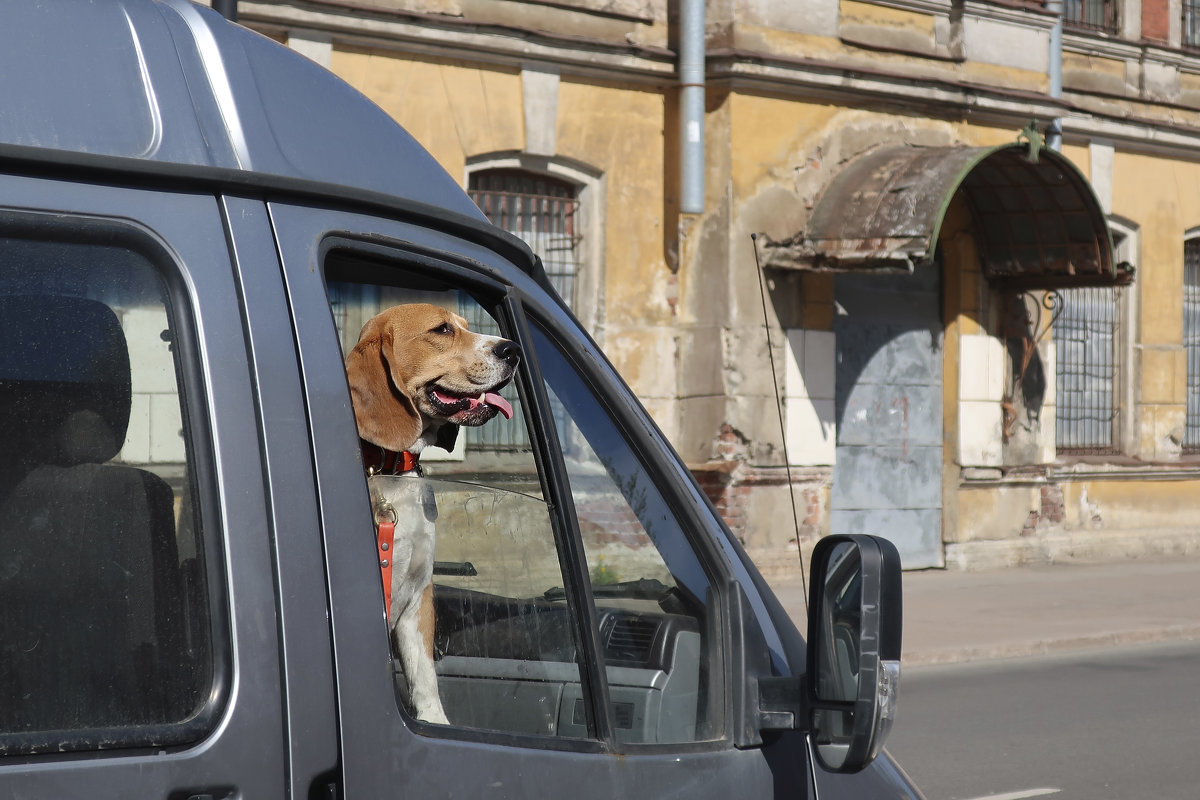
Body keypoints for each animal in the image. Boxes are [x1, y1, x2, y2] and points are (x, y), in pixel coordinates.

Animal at [343, 302, 520, 724]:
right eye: (441, 330)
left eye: (466, 326)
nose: (512, 350)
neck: (391, 471)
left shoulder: (418, 598)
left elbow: (425, 680)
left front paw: (434, 723)